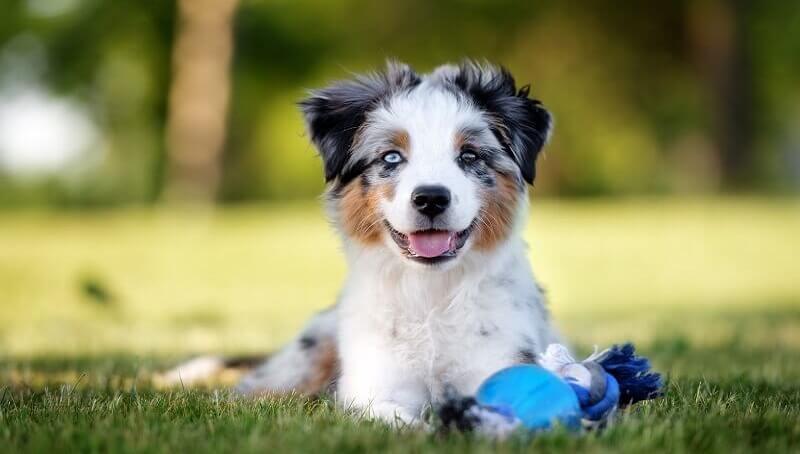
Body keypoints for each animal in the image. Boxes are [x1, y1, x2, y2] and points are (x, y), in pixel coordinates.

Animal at [170, 60, 556, 426]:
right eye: (391, 157)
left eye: (470, 156)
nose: (431, 198)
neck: (429, 294)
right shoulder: (371, 390)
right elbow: (398, 422)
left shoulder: (498, 361)